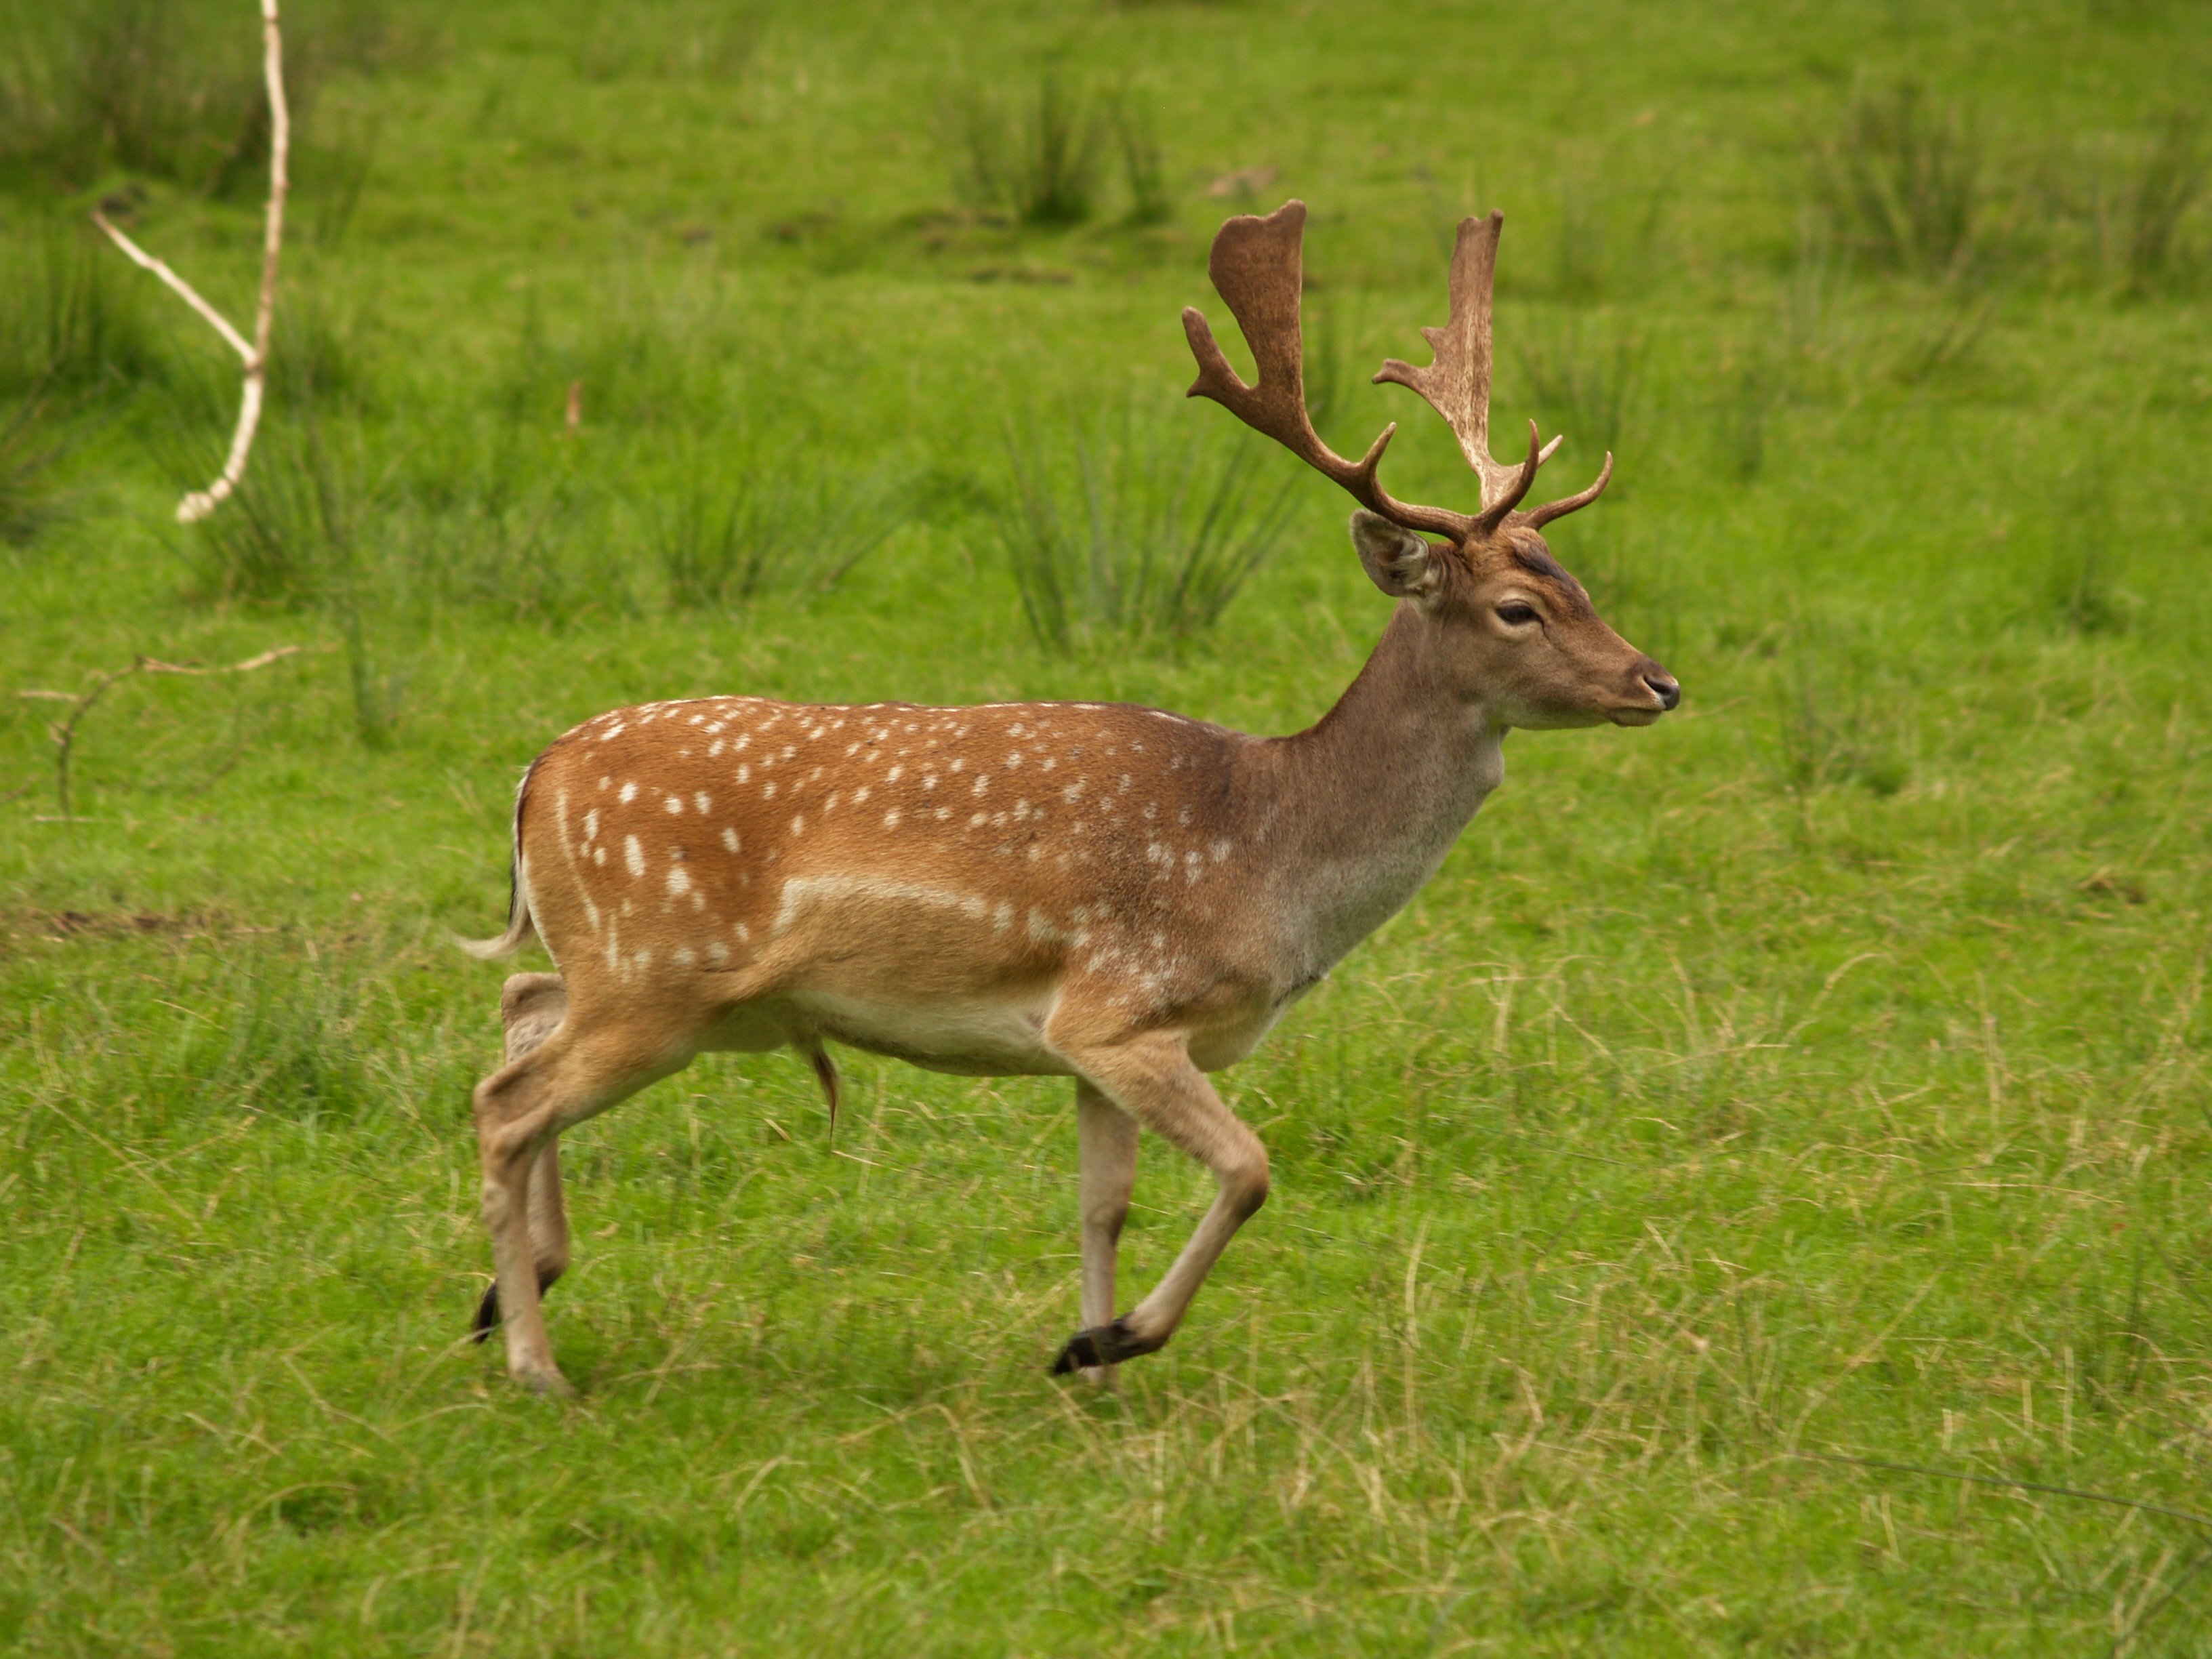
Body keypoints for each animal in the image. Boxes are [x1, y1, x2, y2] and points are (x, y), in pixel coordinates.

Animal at [462, 204, 1672, 1406]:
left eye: (1578, 582)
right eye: (1517, 608)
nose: (1658, 682)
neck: (1273, 862)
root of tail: (536, 775)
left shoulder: (1094, 1045)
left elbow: (1105, 1204)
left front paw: (1089, 1365)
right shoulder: (1119, 1007)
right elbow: (1249, 1170)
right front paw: (1115, 1340)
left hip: (643, 979)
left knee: (521, 1005)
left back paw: (504, 1295)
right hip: (654, 978)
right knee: (507, 1102)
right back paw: (533, 1361)